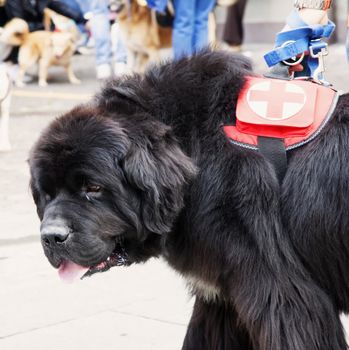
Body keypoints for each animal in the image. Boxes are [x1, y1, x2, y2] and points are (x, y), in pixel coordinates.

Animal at [28, 50, 348, 350]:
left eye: (93, 187)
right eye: (46, 193)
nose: (52, 237)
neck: (193, 152)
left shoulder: (284, 296)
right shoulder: (219, 297)